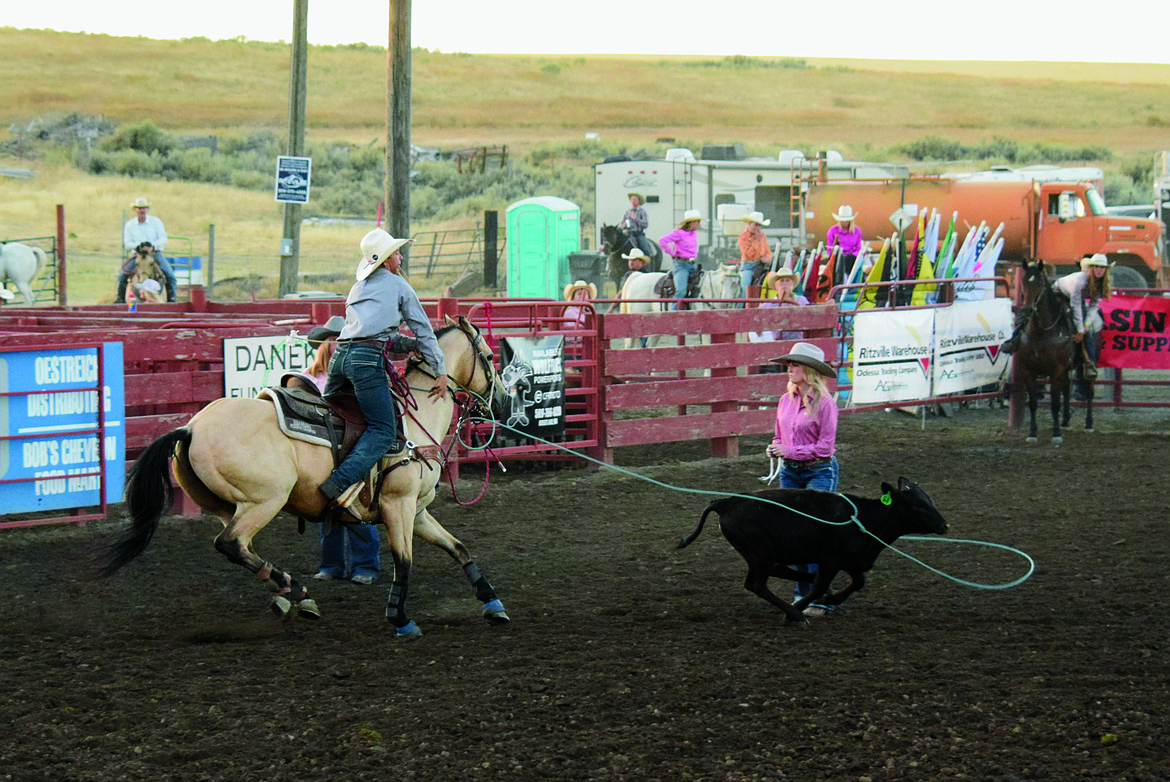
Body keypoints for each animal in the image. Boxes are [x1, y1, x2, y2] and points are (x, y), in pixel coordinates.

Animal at [105, 313, 512, 636]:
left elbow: (458, 547)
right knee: (231, 543)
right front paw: (401, 619)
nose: (505, 401)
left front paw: (493, 604)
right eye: (491, 356)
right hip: (265, 501)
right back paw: (295, 593)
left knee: (242, 548)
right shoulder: (399, 505)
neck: (414, 420)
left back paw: (293, 595)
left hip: (227, 505)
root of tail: (189, 428)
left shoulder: (417, 510)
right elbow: (404, 562)